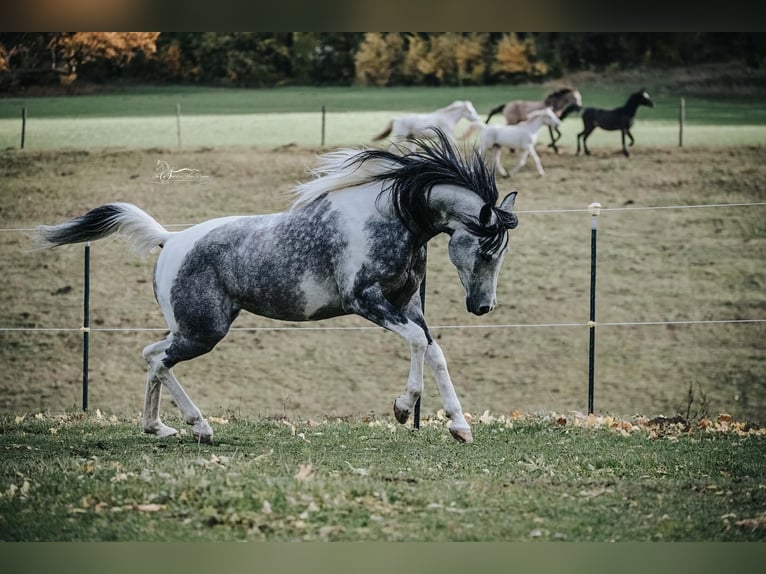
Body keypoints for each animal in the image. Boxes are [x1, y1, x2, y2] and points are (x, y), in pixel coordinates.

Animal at [33, 129, 518, 445]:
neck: (391, 217)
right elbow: (418, 343)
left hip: (191, 328)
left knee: (151, 357)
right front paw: (402, 407)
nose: (483, 307)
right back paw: (198, 427)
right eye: (487, 250)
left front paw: (459, 426)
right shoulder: (366, 302)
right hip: (203, 332)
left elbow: (434, 351)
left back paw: (160, 428)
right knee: (159, 361)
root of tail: (170, 240)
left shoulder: (408, 304)